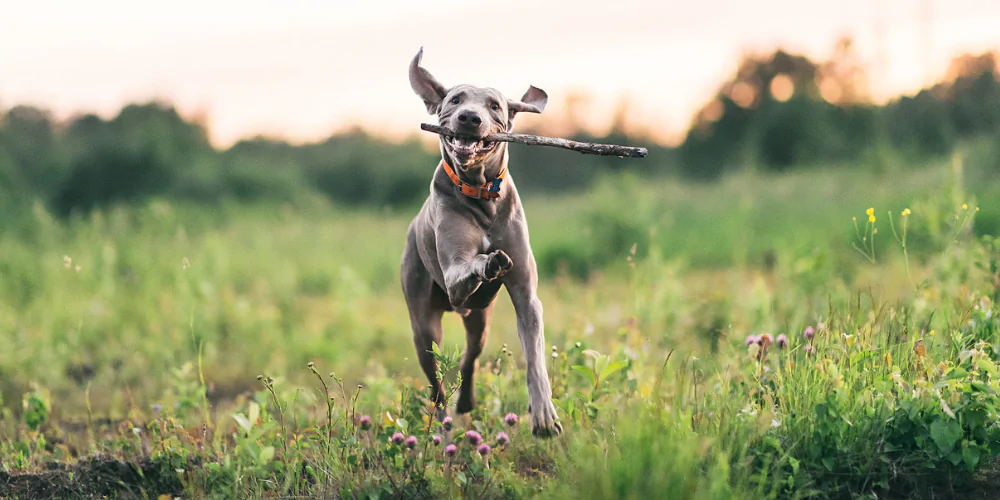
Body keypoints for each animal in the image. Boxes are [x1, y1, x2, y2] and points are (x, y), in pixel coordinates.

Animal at [402, 47, 568, 438]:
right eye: (455, 99)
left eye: (494, 105)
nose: (469, 118)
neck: (481, 193)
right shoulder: (454, 277)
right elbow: (471, 263)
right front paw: (489, 260)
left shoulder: (526, 295)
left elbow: (535, 358)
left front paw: (543, 415)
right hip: (423, 324)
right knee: (436, 383)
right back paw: (444, 422)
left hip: (481, 321)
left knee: (470, 358)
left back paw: (466, 401)